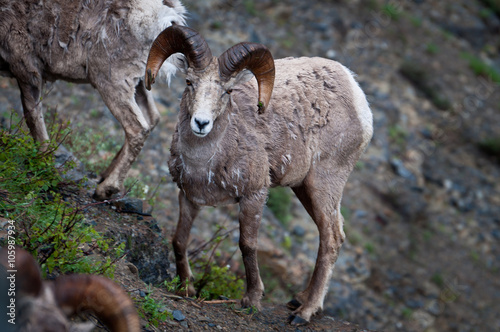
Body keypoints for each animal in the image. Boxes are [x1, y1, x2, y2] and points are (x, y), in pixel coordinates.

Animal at [0, 0, 187, 200]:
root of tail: (166, 14)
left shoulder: (27, 71)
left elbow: (34, 120)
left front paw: (42, 163)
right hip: (140, 83)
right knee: (152, 118)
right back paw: (104, 177)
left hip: (112, 82)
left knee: (138, 129)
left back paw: (104, 190)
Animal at [145, 25, 372, 324]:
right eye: (189, 82)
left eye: (227, 90)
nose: (201, 123)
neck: (205, 160)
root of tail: (357, 96)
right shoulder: (190, 197)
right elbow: (179, 239)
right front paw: (186, 289)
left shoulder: (254, 195)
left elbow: (247, 246)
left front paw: (251, 300)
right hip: (304, 189)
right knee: (331, 235)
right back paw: (299, 299)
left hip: (325, 184)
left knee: (332, 238)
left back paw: (304, 313)